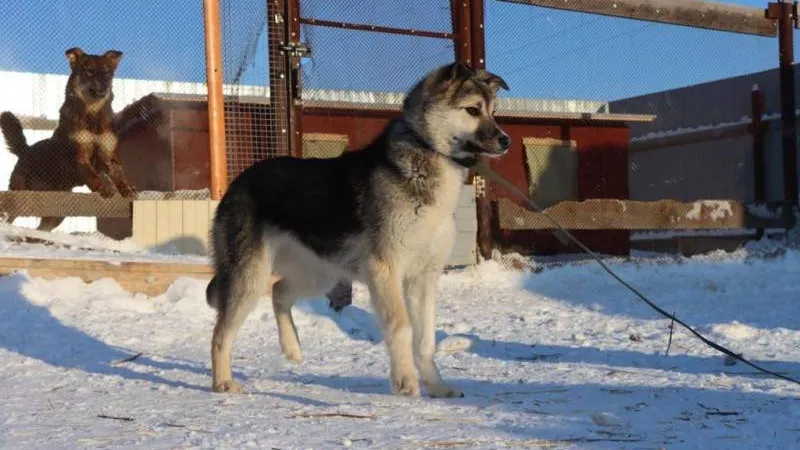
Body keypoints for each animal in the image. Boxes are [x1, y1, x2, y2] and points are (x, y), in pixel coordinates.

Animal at [0, 48, 136, 232]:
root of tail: (25, 151)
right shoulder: (80, 157)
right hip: (20, 196)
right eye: (89, 71)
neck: (92, 114)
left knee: (42, 227)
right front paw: (103, 187)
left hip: (55, 213)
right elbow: (92, 175)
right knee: (9, 215)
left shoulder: (109, 155)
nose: (105, 84)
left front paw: (127, 189)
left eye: (108, 73)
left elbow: (119, 175)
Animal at [209, 60, 510, 398]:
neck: (424, 155)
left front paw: (436, 386)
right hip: (251, 278)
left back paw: (292, 348)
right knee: (220, 334)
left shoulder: (423, 278)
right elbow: (401, 327)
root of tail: (238, 182)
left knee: (279, 292)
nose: (506, 140)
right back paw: (222, 381)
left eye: (493, 112)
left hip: (319, 275)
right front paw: (405, 381)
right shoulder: (386, 271)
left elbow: (426, 341)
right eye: (472, 110)